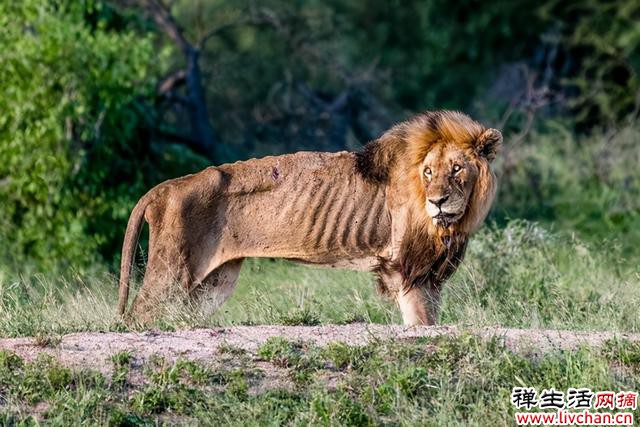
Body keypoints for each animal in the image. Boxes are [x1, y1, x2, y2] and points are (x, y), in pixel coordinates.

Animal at [117, 111, 502, 328]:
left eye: (457, 169)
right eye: (428, 172)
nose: (438, 201)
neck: (449, 223)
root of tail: (164, 188)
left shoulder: (430, 273)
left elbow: (431, 319)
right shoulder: (405, 267)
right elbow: (420, 322)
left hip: (212, 283)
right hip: (171, 274)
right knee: (139, 315)